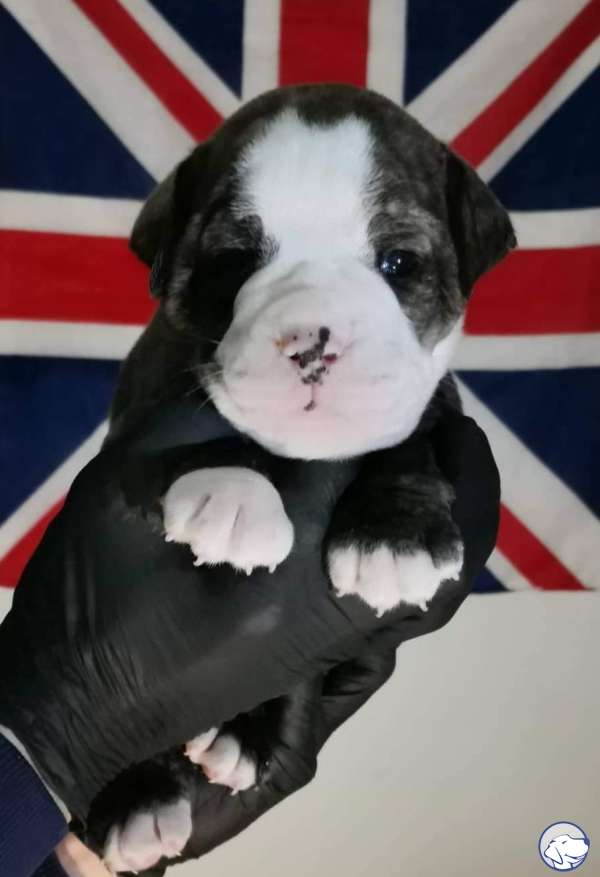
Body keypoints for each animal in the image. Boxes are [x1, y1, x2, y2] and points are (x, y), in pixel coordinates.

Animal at [92, 83, 514, 872]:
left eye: (399, 263)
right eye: (233, 262)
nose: (312, 339)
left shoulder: (430, 405)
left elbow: (409, 441)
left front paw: (396, 534)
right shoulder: (143, 408)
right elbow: (196, 423)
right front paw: (234, 488)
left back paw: (245, 737)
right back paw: (135, 800)